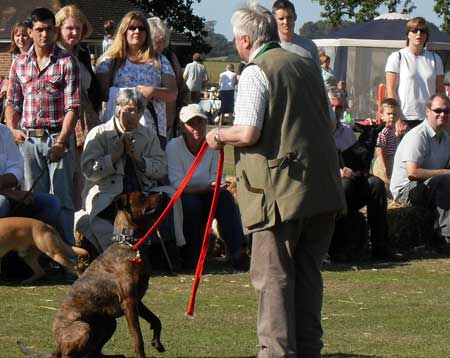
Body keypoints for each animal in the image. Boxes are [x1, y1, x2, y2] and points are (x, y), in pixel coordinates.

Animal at [18, 192, 165, 358]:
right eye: (142, 196)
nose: (162, 193)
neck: (128, 243)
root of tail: (57, 345)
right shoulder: (129, 302)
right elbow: (138, 339)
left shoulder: (137, 301)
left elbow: (156, 320)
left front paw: (157, 343)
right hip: (84, 328)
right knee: (71, 355)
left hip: (109, 323)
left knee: (94, 352)